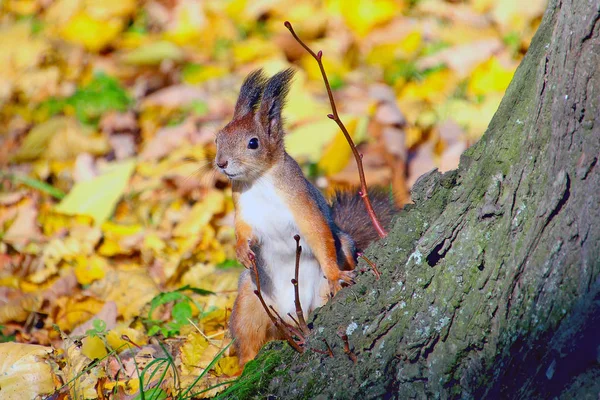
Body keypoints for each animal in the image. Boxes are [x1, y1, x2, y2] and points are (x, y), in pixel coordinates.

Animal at [213, 68, 396, 366]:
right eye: (217, 138)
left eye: (253, 143)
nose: (221, 163)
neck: (259, 182)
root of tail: (291, 314)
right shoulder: (243, 210)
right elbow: (242, 231)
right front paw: (241, 250)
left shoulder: (303, 204)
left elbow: (318, 233)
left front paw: (336, 274)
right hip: (249, 304)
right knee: (248, 342)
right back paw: (245, 366)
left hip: (321, 287)